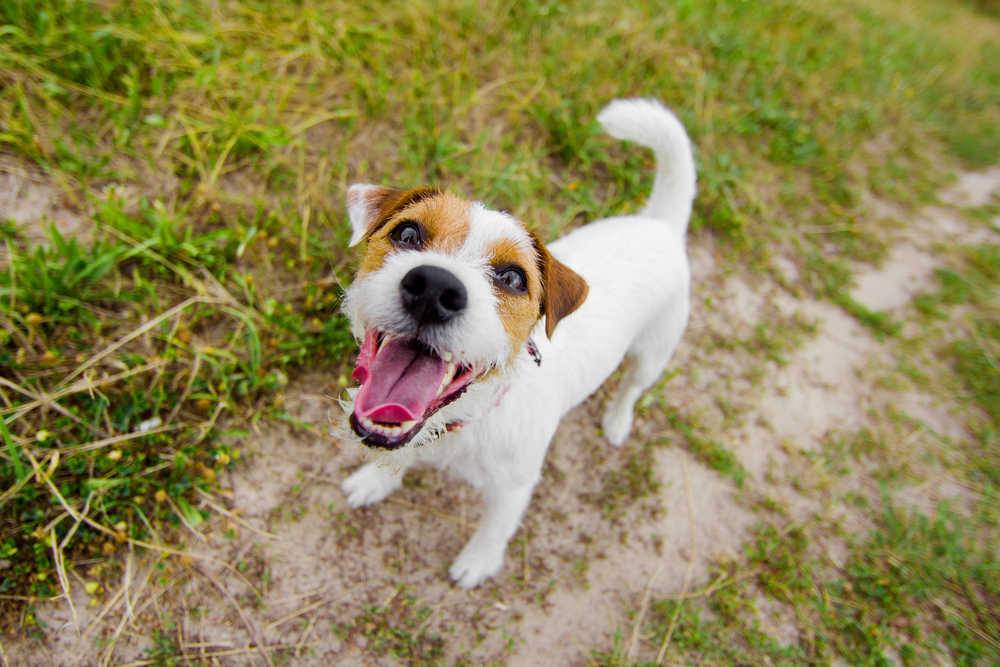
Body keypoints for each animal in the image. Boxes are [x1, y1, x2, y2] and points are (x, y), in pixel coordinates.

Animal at [336, 96, 696, 588]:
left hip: (653, 352)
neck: (471, 416)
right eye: (406, 234)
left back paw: (617, 420)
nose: (433, 289)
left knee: (633, 386)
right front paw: (375, 481)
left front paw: (477, 560)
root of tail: (660, 225)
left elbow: (495, 526)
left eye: (512, 278)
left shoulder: (515, 487)